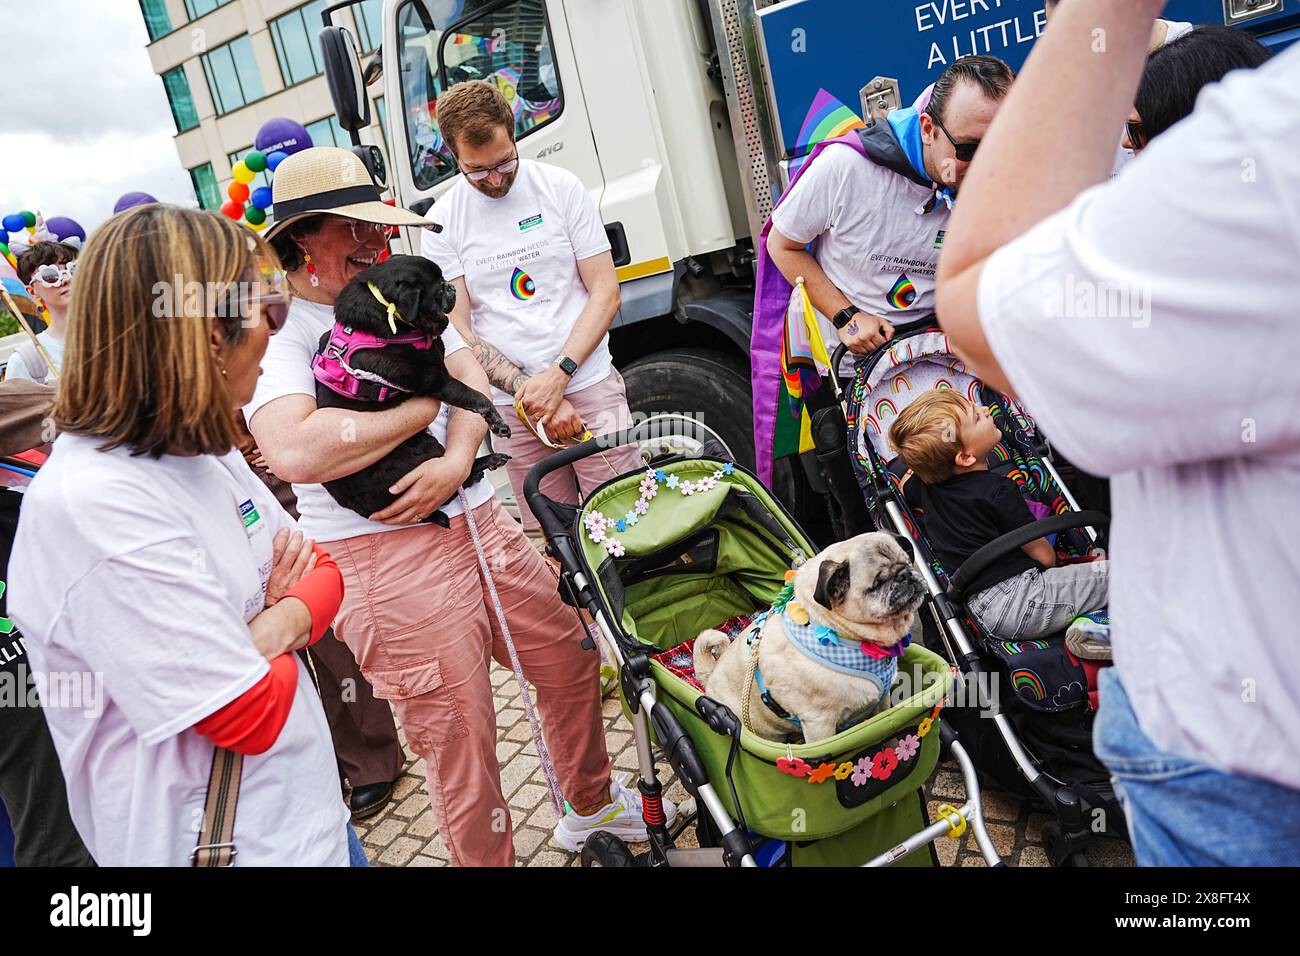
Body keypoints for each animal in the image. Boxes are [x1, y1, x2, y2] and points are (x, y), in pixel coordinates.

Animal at [314, 254, 512, 528]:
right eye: (438, 289)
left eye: (444, 282)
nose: (451, 288)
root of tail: (366, 511)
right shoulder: (439, 380)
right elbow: (477, 398)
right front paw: (497, 423)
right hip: (426, 448)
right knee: (454, 483)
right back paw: (487, 462)